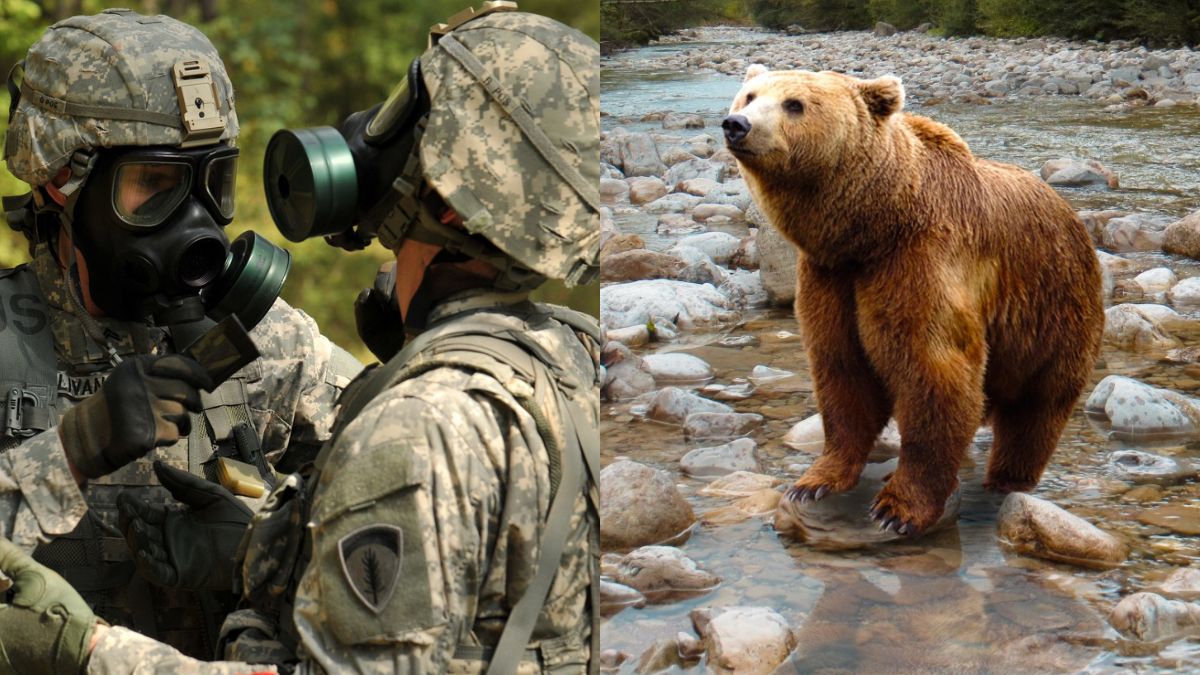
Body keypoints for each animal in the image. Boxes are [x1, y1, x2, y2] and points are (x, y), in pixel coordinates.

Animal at [722, 65, 1103, 535]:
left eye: (794, 104)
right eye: (750, 95)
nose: (737, 124)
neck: (872, 227)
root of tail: (1072, 215)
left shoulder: (919, 261)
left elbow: (933, 372)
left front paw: (897, 508)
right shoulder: (831, 277)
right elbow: (841, 370)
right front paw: (814, 482)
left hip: (1053, 309)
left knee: (1036, 408)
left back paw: (1007, 477)